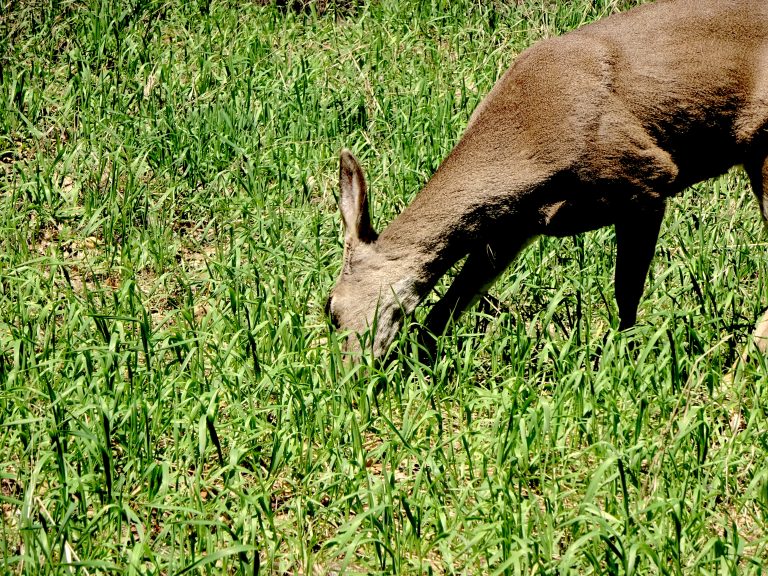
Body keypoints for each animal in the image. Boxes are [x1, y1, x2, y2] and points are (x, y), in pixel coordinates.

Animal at [324, 0, 768, 360]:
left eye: (331, 308)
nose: (352, 375)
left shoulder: (646, 177)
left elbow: (626, 289)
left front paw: (622, 359)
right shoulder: (512, 228)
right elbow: (454, 300)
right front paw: (418, 360)